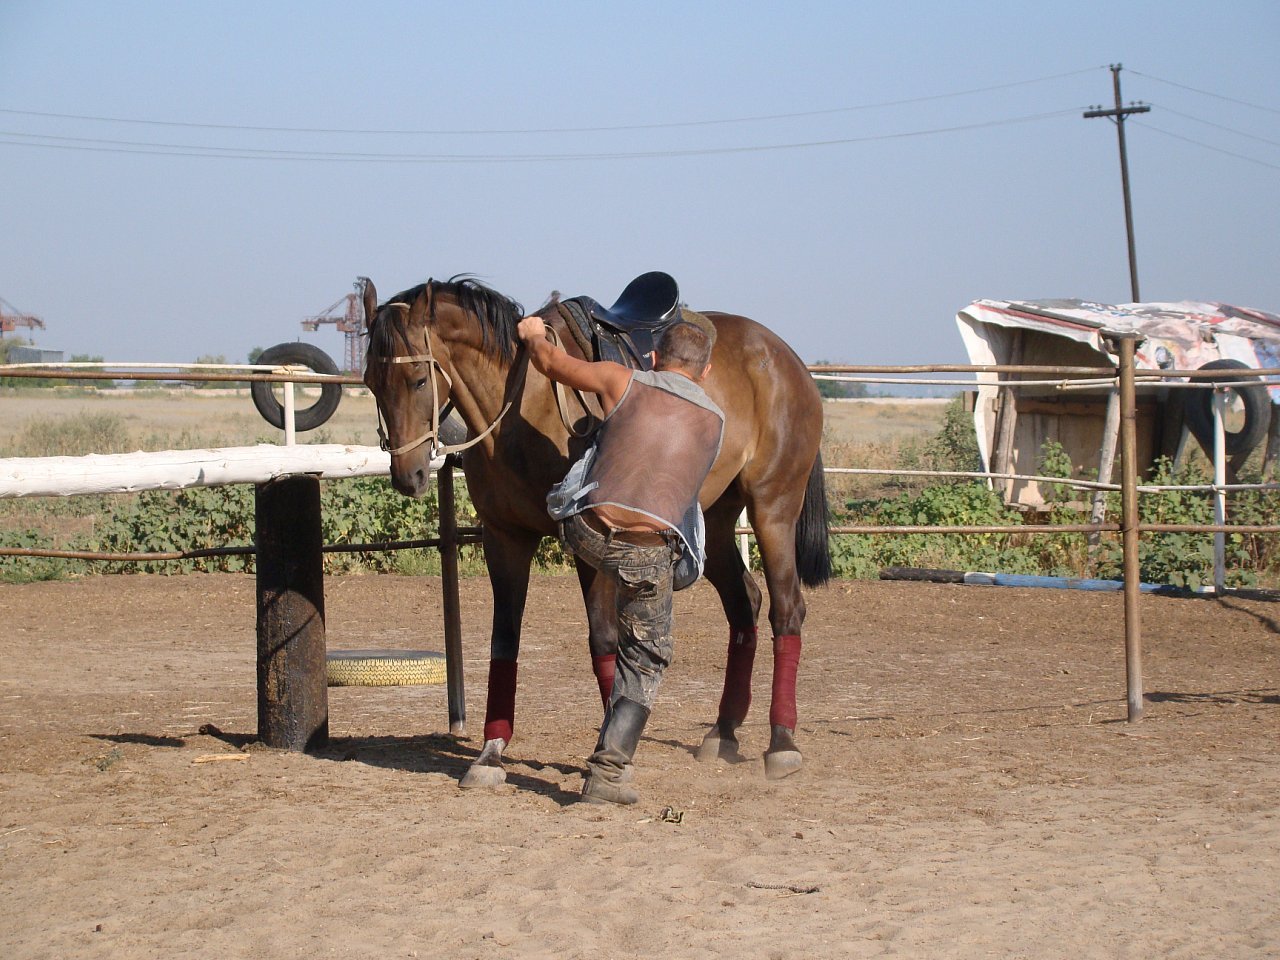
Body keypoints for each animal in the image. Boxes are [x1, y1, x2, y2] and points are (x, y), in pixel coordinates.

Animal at [360, 273, 829, 783]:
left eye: (418, 379)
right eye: (370, 382)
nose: (407, 477)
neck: (523, 404)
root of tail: (786, 359)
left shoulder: (590, 541)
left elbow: (604, 640)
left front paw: (611, 743)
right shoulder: (504, 540)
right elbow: (504, 640)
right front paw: (491, 751)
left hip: (773, 508)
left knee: (786, 610)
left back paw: (782, 741)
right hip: (718, 522)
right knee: (745, 604)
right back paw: (723, 732)